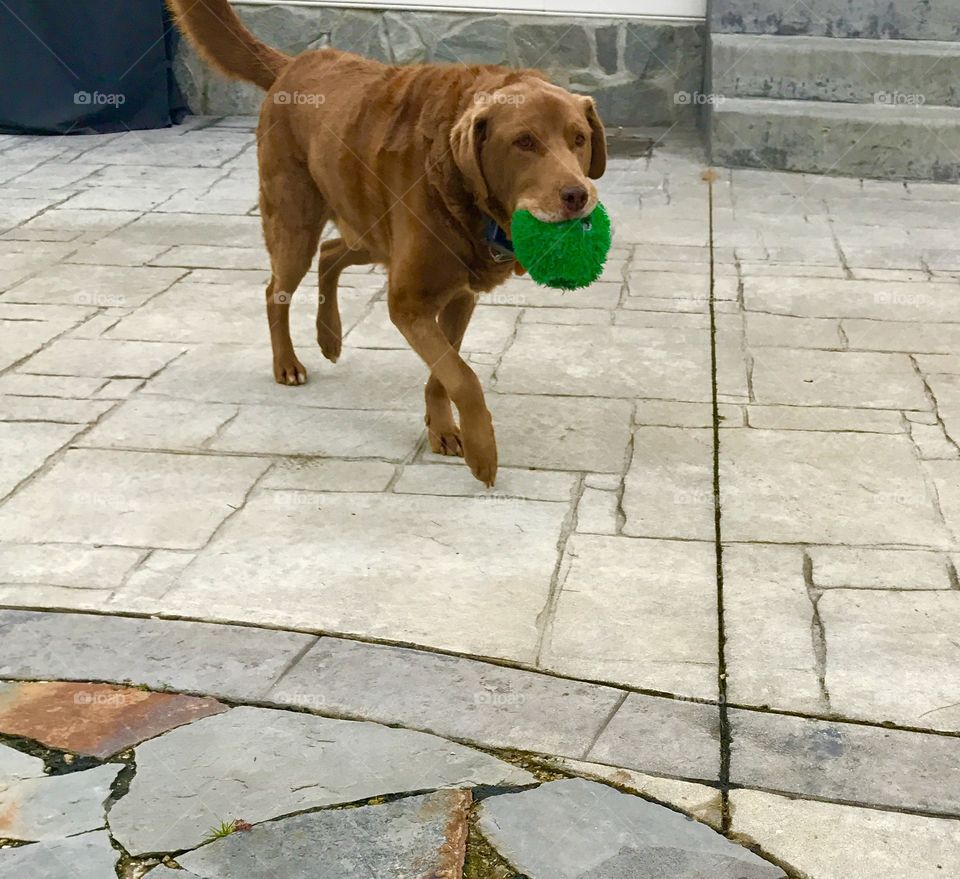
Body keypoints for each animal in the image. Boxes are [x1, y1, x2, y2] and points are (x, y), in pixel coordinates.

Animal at [168, 0, 604, 484]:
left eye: (579, 138)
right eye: (524, 142)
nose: (578, 195)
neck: (464, 192)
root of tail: (295, 64)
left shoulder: (458, 296)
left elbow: (445, 371)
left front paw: (443, 430)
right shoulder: (408, 302)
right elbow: (463, 378)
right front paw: (483, 451)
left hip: (371, 230)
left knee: (331, 254)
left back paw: (329, 336)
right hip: (296, 225)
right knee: (276, 289)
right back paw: (287, 364)